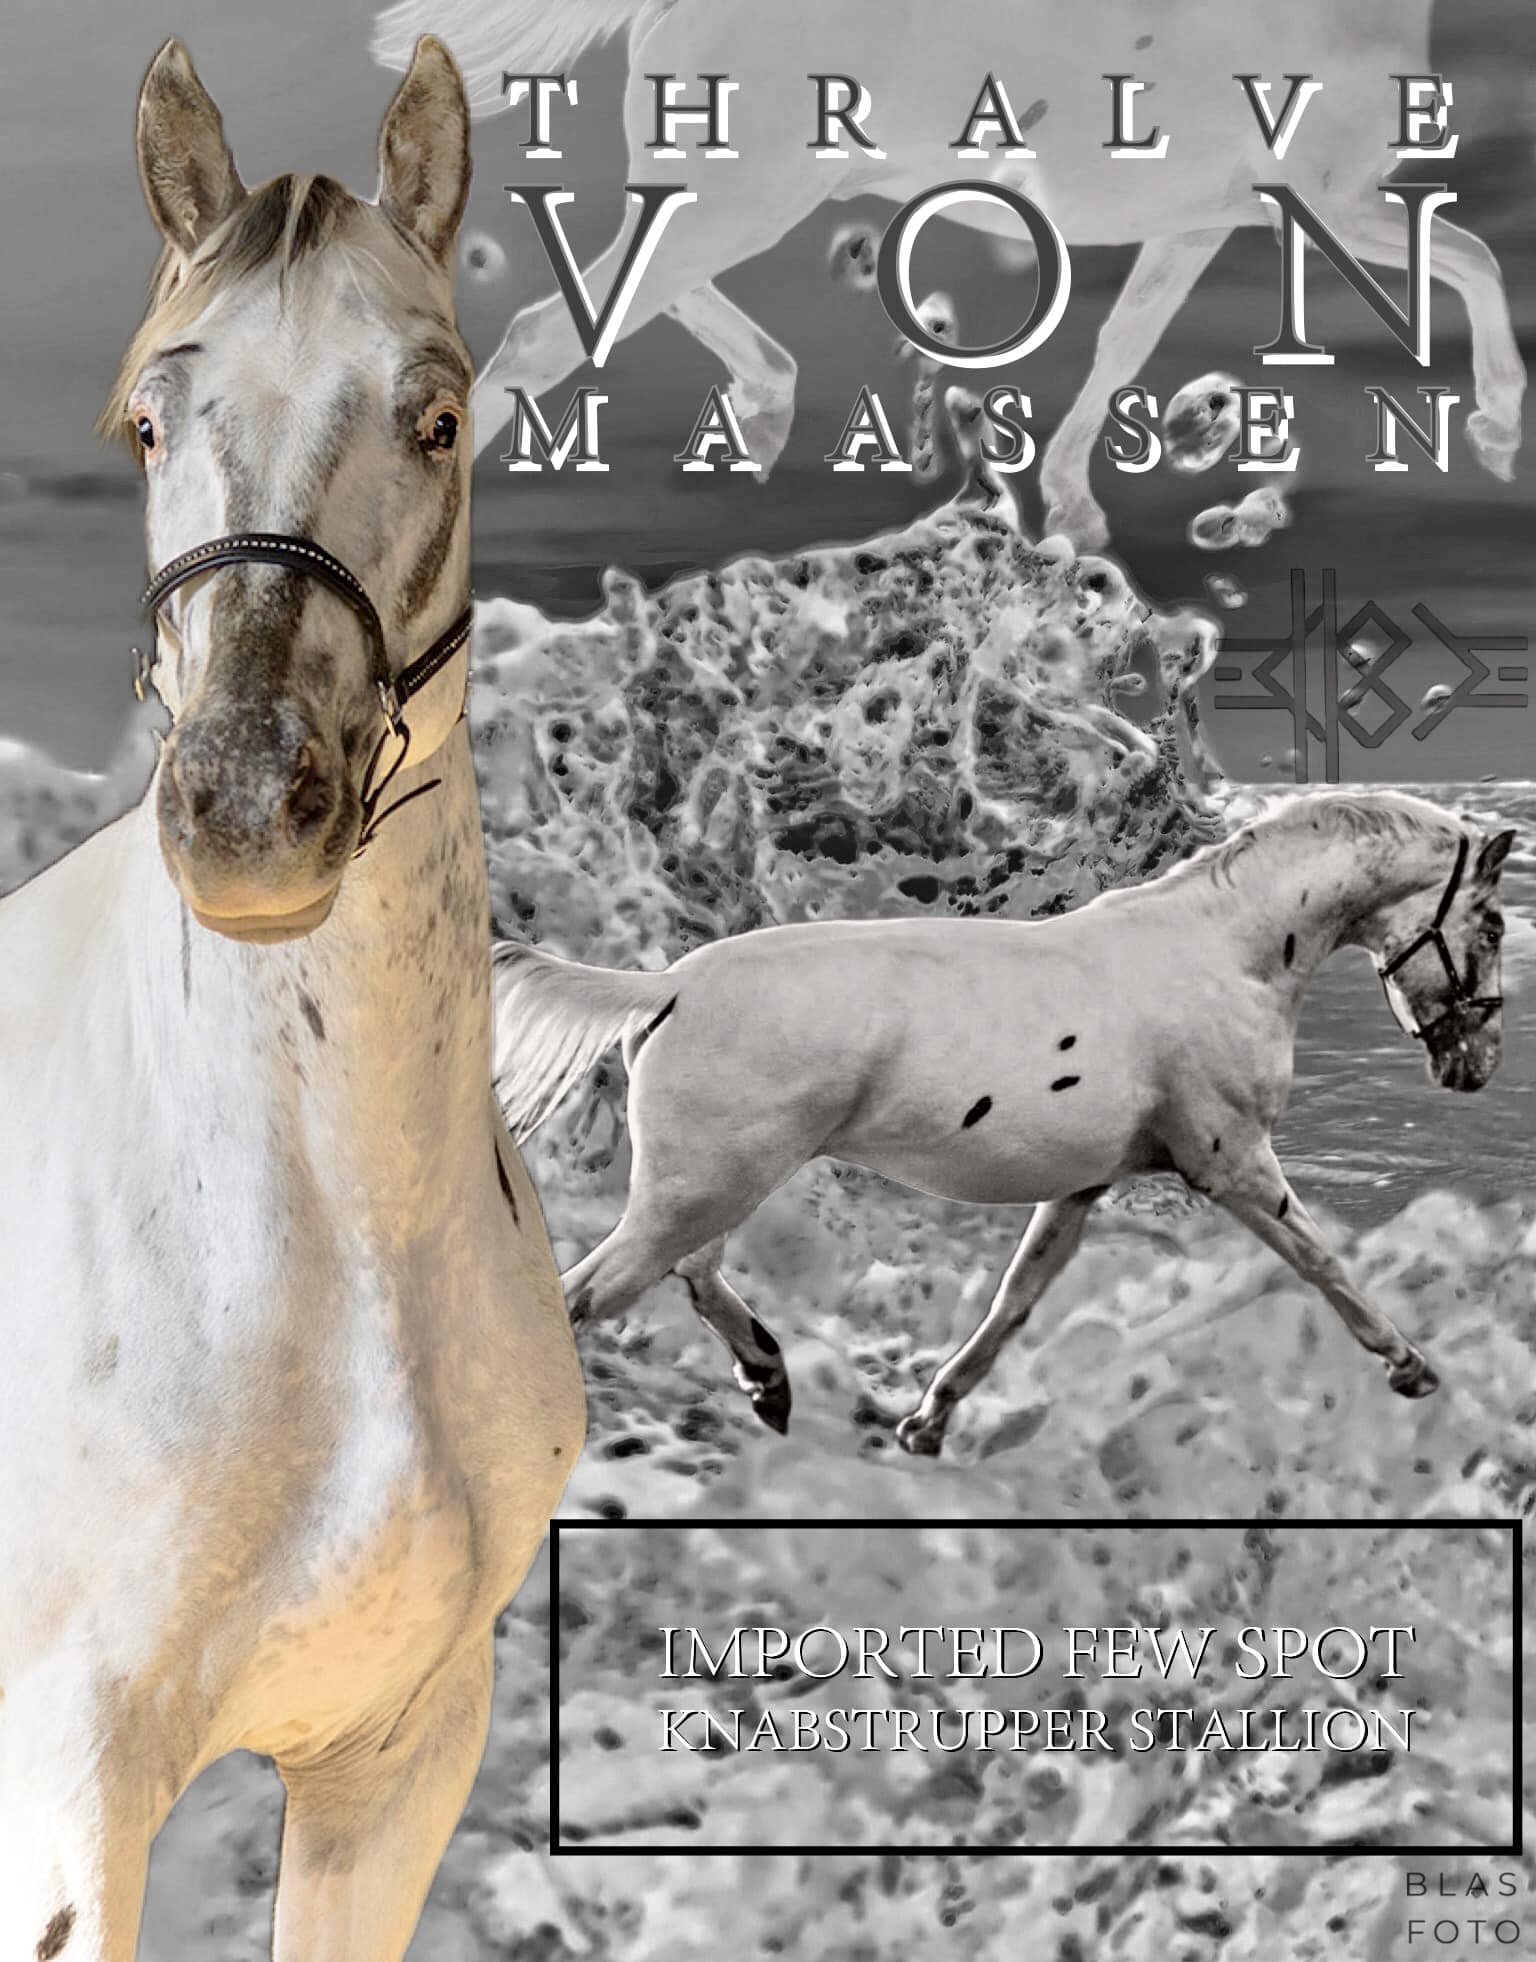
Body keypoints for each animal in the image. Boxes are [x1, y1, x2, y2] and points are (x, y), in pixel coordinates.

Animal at [372, 0, 1524, 546]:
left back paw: (768, 407)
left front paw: (1072, 511)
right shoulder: (1330, 205)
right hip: (743, 200)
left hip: (731, 200)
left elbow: (1124, 343)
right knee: (550, 331)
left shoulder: (1200, 226)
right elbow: (1474, 262)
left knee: (607, 299)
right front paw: (1501, 429)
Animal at [489, 791, 1513, 1456]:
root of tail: (665, 987)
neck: (1228, 954)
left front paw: (929, 1421)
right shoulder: (1231, 1162)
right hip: (702, 1189)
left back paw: (770, 1382)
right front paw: (1410, 1366)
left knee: (694, 1278)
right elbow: (1322, 1261)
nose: (1477, 1066)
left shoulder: (1082, 1186)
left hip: (708, 1188)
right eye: (1497, 925)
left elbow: (1014, 1302)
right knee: (592, 1295)